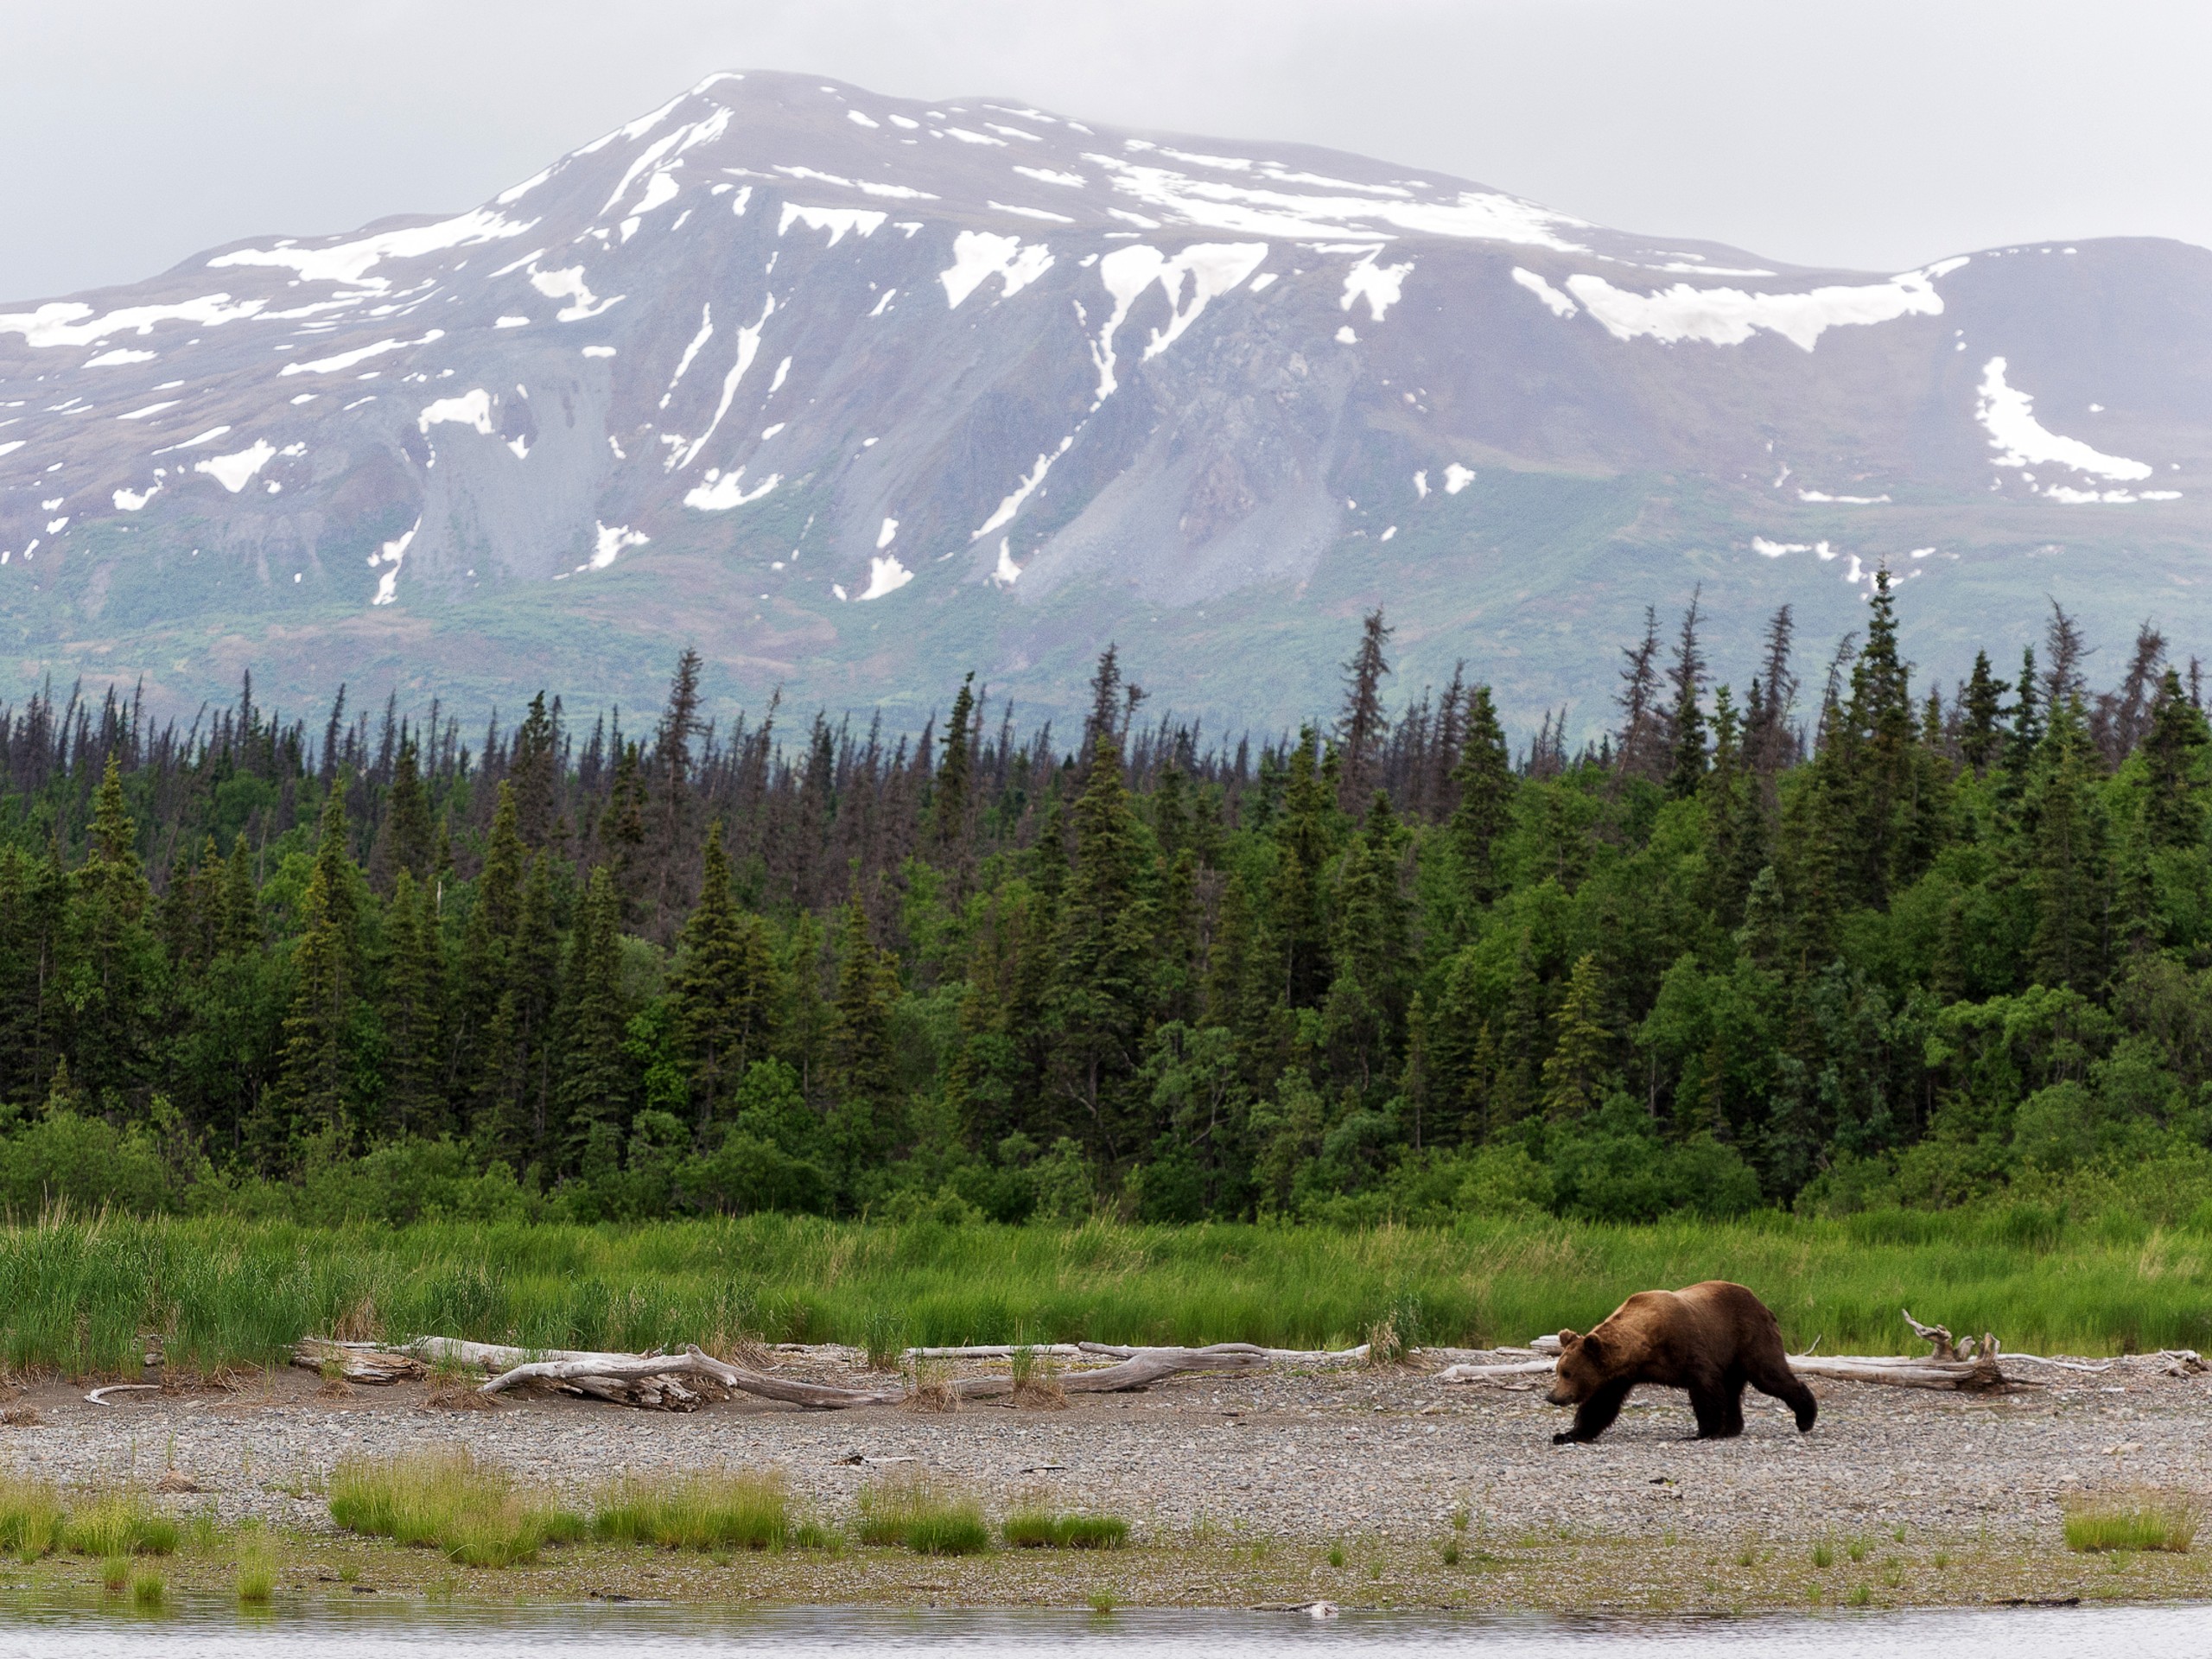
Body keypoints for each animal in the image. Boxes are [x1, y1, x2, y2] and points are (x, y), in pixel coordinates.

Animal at [1557, 1282, 1814, 1451]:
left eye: (1567, 1373)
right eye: (1560, 1371)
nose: (1553, 1396)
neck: (1646, 1347)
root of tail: (1763, 1305)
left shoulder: (1687, 1346)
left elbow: (1705, 1389)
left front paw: (1702, 1432)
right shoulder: (1621, 1374)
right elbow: (1600, 1405)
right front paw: (1567, 1434)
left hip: (1749, 1337)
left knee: (1768, 1375)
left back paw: (1805, 1418)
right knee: (1733, 1390)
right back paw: (1731, 1428)